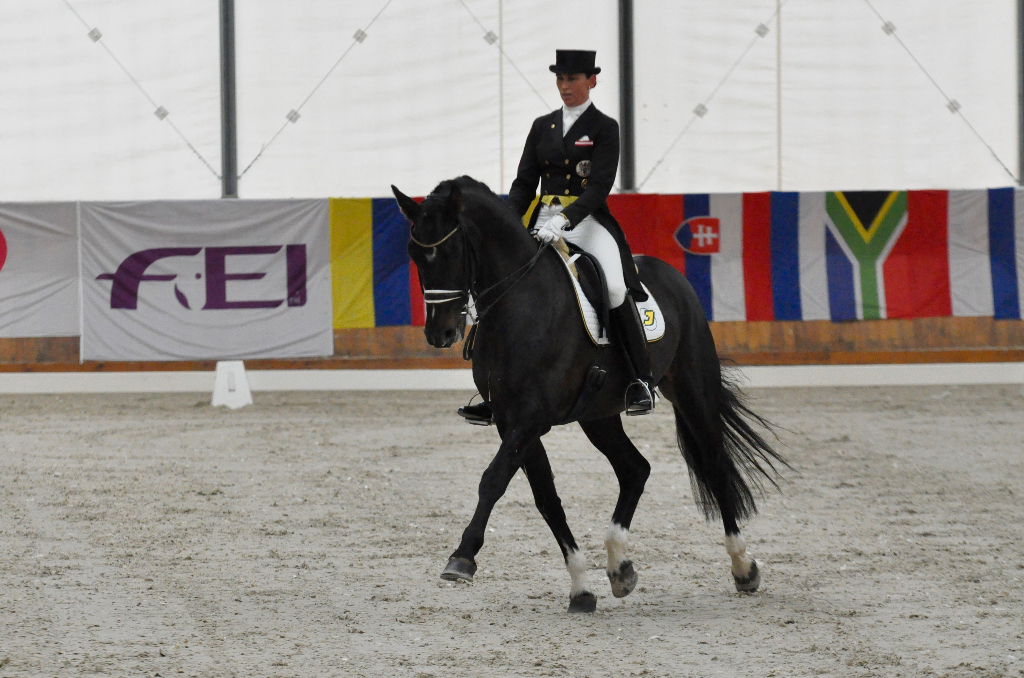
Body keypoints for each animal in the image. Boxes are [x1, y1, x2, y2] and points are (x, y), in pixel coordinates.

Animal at [391, 176, 782, 614]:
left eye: (452, 250)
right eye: (414, 253)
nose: (439, 333)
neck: (520, 303)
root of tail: (670, 274)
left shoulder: (530, 418)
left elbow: (492, 480)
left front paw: (462, 557)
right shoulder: (512, 421)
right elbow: (546, 499)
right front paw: (581, 587)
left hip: (692, 386)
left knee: (714, 464)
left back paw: (743, 567)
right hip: (598, 416)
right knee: (635, 469)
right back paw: (620, 566)